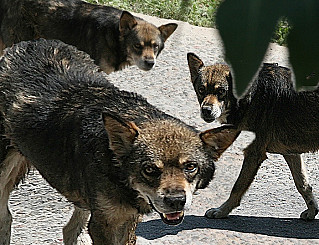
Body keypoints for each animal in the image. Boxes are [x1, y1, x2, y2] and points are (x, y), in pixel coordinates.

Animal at [0, 39, 240, 244]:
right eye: (150, 169)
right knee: (6, 217)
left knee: (69, 229)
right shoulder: (104, 223)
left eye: (190, 167)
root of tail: (28, 43)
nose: (176, 201)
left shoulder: (127, 218)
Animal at [188, 52, 319, 221]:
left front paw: (222, 211)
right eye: (201, 90)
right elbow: (303, 184)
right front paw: (312, 210)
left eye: (221, 91)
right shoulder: (291, 153)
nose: (206, 110)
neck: (251, 94)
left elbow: (237, 187)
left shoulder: (253, 154)